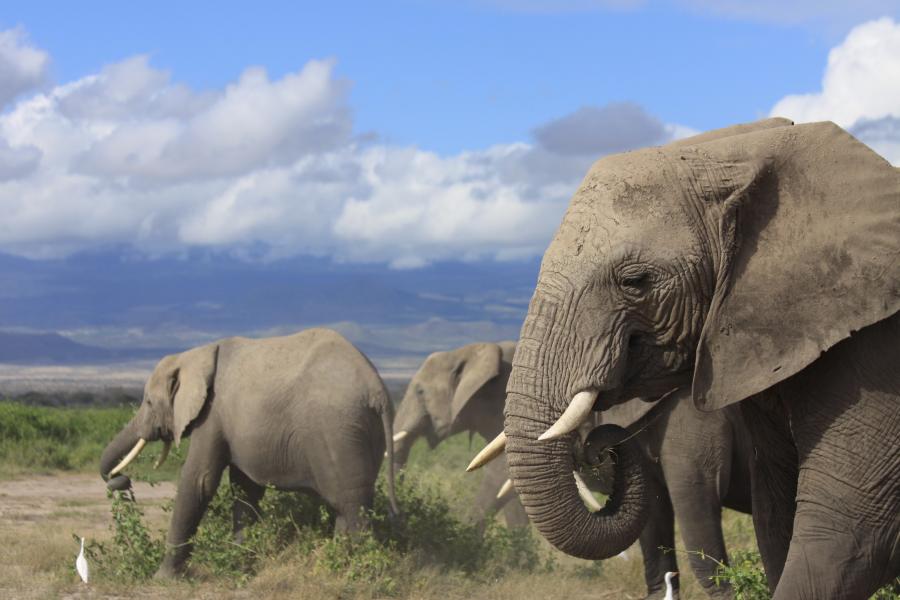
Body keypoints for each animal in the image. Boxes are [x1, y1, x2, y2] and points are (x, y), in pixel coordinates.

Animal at [99, 328, 399, 578]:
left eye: (149, 402)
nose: (121, 480)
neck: (196, 354)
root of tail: (378, 391)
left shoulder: (212, 414)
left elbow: (199, 481)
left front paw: (164, 578)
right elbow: (245, 489)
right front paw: (239, 567)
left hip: (339, 430)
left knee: (350, 503)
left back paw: (357, 573)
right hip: (363, 432)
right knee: (348, 505)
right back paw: (337, 566)